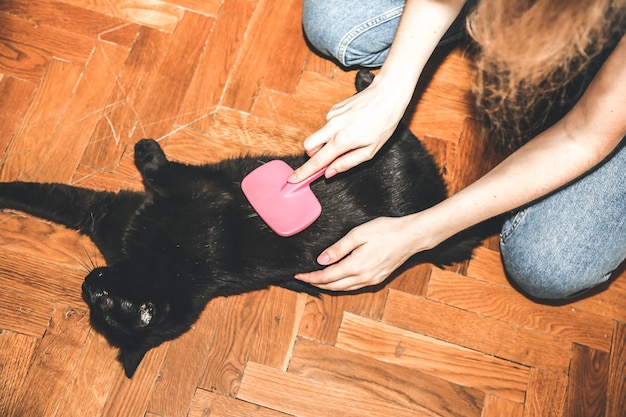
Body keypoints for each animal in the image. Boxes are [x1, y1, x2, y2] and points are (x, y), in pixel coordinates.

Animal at [0, 71, 478, 376]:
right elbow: (40, 194)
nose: (88, 284)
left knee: (396, 133)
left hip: (382, 162)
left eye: (103, 302)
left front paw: (146, 150)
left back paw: (367, 85)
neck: (166, 265)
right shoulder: (102, 213)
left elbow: (161, 170)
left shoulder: (194, 190)